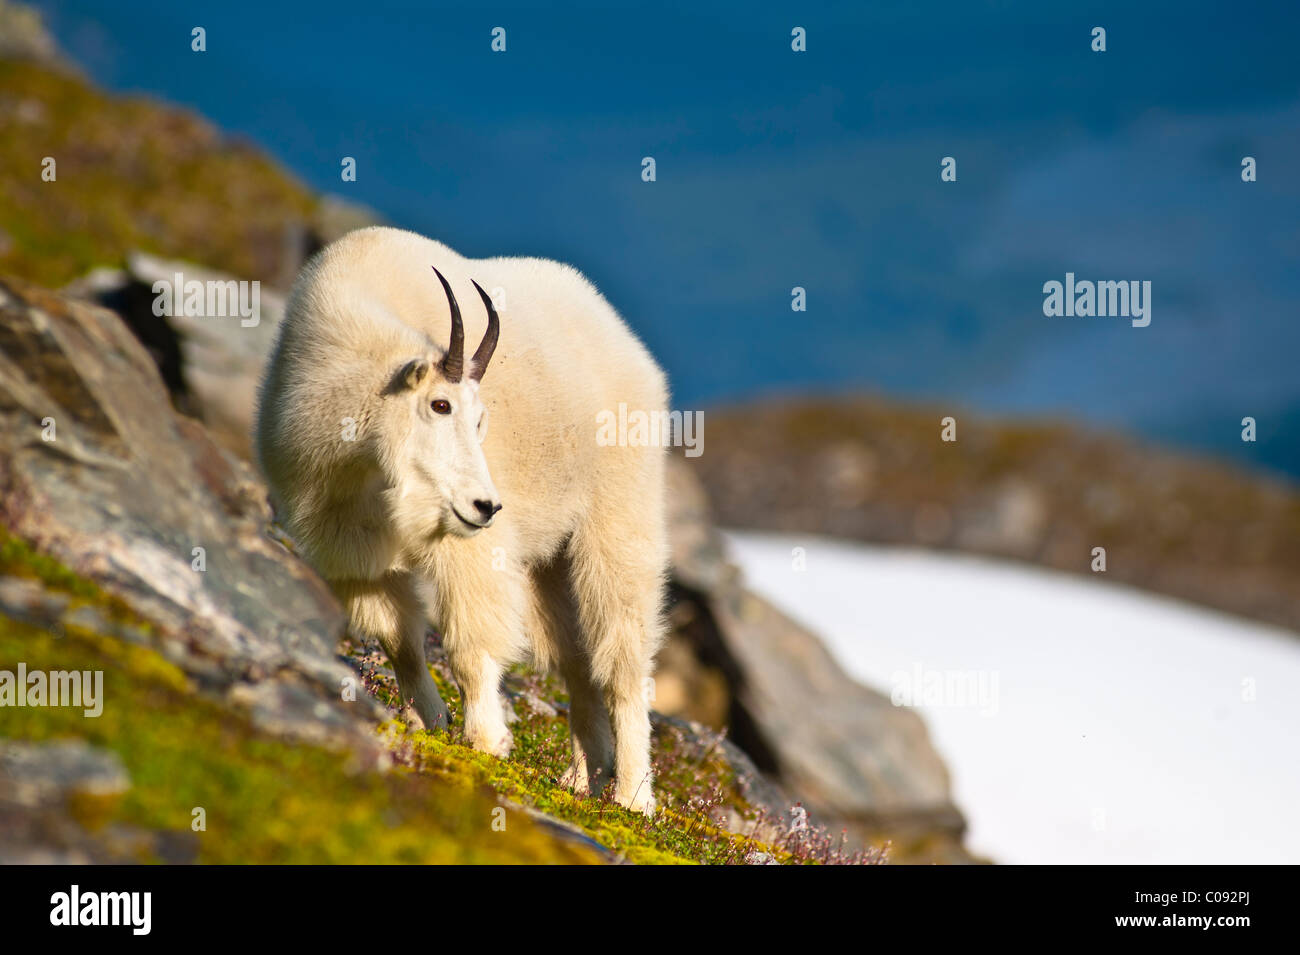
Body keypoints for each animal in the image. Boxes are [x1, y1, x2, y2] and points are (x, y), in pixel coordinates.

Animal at [252, 227, 665, 810]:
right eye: (440, 405)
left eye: (481, 419)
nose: (486, 506)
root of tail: (626, 342)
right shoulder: (351, 544)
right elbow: (398, 637)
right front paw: (428, 721)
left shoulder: (469, 546)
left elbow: (471, 644)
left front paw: (487, 742)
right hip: (548, 563)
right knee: (576, 660)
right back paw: (582, 779)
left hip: (618, 521)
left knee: (624, 656)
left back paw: (632, 795)